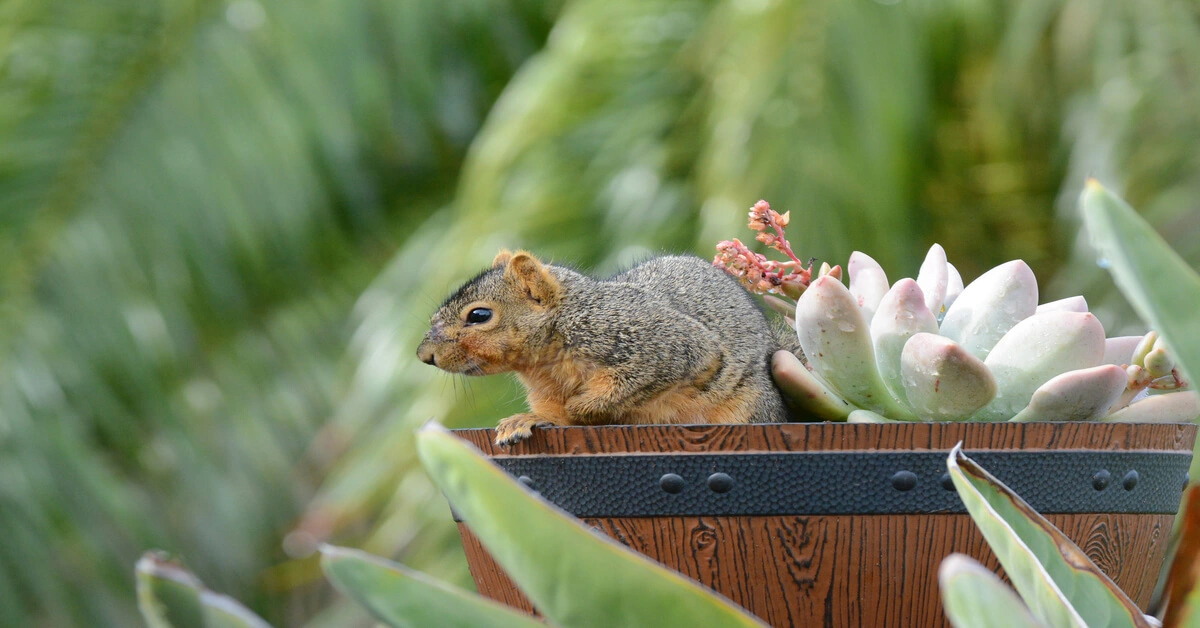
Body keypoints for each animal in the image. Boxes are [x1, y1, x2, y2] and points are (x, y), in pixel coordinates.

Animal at [417, 248, 792, 444]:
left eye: (479, 315)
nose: (425, 355)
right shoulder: (546, 389)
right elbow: (552, 413)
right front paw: (528, 419)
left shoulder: (661, 344)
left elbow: (638, 379)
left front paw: (583, 408)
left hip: (748, 409)